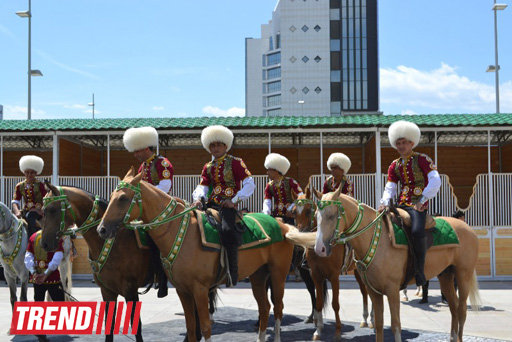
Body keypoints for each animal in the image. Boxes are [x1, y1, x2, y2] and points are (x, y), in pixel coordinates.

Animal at [39, 184, 159, 342]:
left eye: (52, 209)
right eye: (43, 210)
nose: (44, 243)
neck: (113, 242)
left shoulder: (130, 291)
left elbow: (137, 327)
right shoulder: (107, 291)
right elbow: (109, 326)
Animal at [97, 168, 296, 342]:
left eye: (123, 198)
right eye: (112, 196)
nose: (102, 229)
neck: (180, 232)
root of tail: (282, 224)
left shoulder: (200, 290)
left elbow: (205, 327)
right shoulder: (182, 290)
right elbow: (191, 327)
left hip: (278, 275)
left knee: (278, 308)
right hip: (258, 276)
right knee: (264, 308)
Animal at [292, 182, 372, 340]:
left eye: (308, 211)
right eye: (293, 212)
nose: (300, 241)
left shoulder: (334, 276)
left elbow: (335, 304)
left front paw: (337, 332)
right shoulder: (315, 275)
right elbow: (318, 301)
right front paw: (318, 330)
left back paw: (369, 319)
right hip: (357, 270)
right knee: (363, 291)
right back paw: (364, 319)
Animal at [310, 187, 482, 342]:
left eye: (331, 216)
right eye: (316, 215)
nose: (319, 249)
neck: (378, 240)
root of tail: (468, 228)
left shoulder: (392, 291)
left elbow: (396, 325)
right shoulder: (374, 292)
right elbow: (379, 325)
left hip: (463, 275)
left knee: (461, 310)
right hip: (445, 276)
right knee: (453, 307)